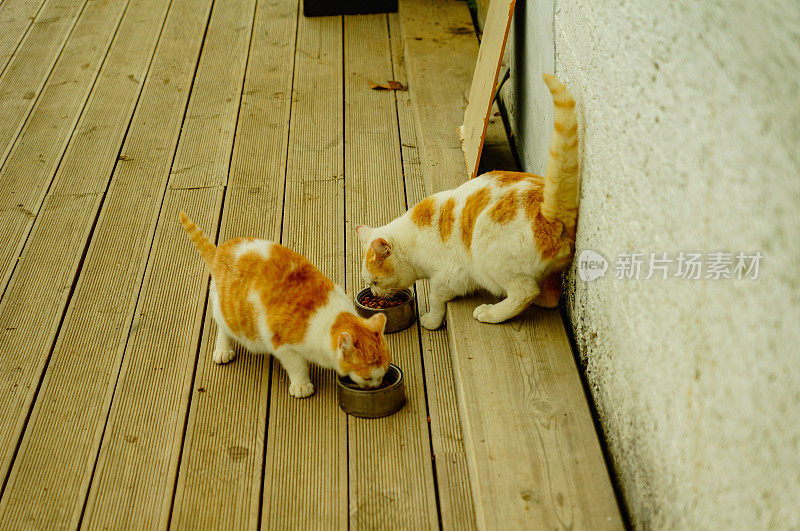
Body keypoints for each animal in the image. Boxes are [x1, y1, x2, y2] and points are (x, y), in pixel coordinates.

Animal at [180, 214, 394, 396]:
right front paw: (302, 386)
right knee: (223, 328)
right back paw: (223, 350)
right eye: (369, 378)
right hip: (228, 313)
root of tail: (220, 251)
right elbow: (297, 366)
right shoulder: (282, 345)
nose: (377, 385)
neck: (329, 316)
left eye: (383, 373)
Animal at [360, 72, 580, 330]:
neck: (413, 238)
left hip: (489, 251)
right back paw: (540, 299)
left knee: (525, 291)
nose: (375, 295)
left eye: (375, 281)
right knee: (550, 297)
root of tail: (549, 210)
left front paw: (431, 320)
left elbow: (436, 296)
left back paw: (491, 312)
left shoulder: (449, 274)